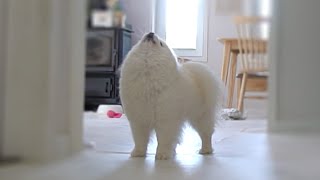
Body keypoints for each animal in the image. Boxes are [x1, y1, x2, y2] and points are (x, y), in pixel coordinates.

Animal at [119, 32, 221, 160]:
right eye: (141, 40)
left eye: (161, 43)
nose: (151, 33)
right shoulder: (138, 120)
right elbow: (140, 140)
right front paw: (138, 153)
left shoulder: (166, 120)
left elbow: (163, 139)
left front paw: (162, 154)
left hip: (200, 117)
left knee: (206, 134)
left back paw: (205, 150)